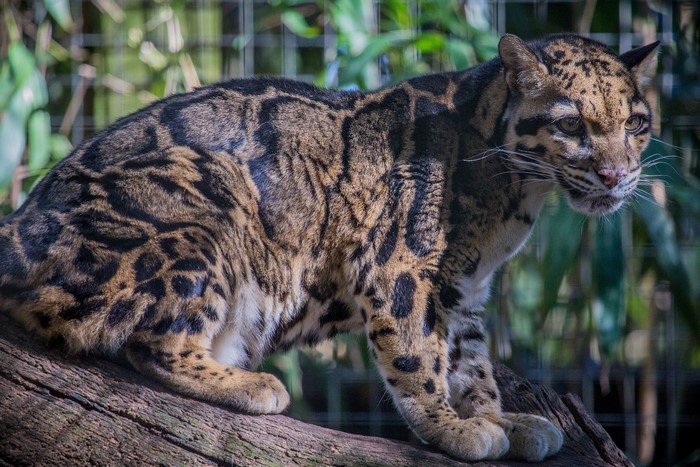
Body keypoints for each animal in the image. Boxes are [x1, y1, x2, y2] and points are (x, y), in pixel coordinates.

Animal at [0, 33, 658, 461]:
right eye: (570, 125)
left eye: (637, 124)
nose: (617, 176)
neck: (520, 188)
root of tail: (20, 221)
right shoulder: (399, 262)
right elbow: (417, 353)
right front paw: (449, 427)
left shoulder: (464, 287)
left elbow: (471, 360)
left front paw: (494, 416)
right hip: (213, 200)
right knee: (150, 342)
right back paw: (249, 384)